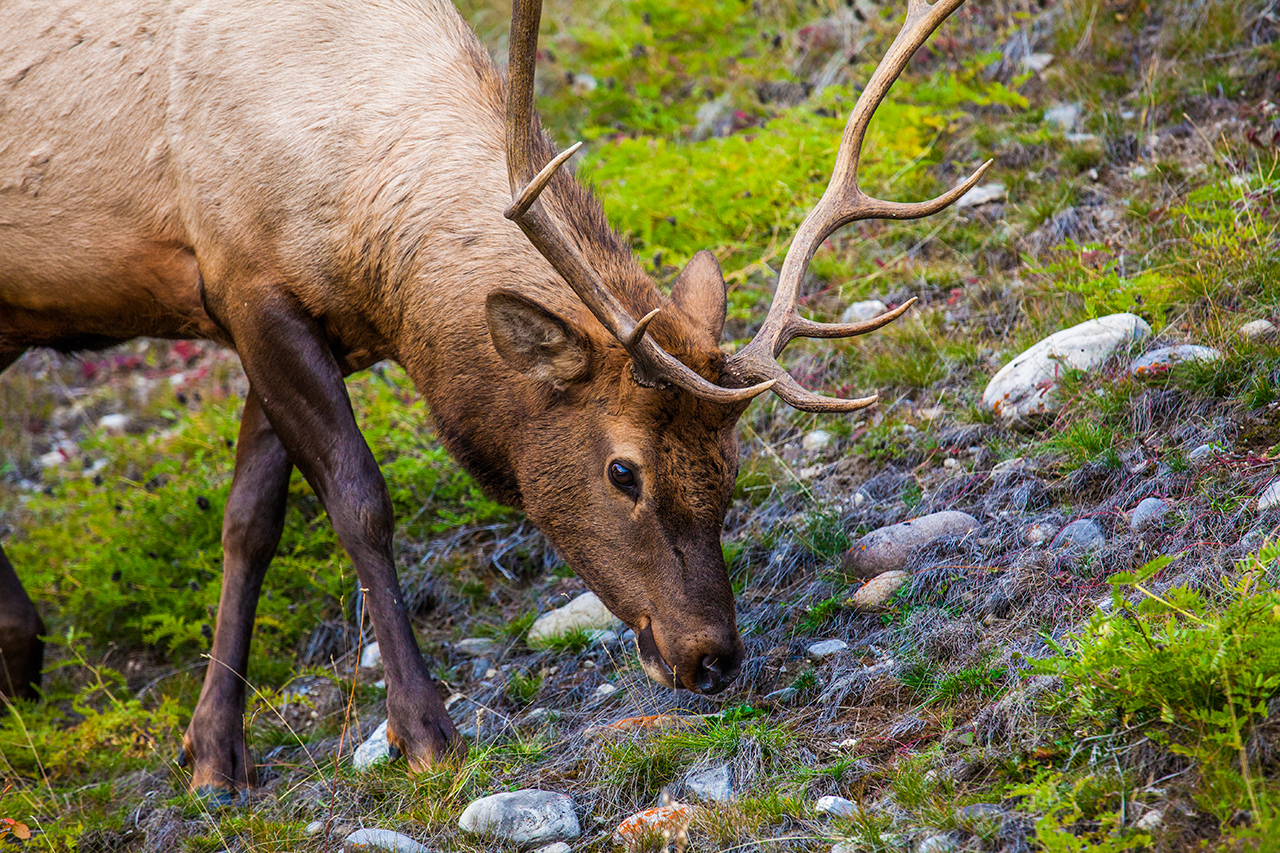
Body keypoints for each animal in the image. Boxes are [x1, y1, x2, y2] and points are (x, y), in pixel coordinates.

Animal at [0, 0, 988, 794]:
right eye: (623, 470)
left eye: (731, 465)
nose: (711, 656)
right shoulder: (247, 285)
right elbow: (357, 501)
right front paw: (423, 730)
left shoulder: (276, 313)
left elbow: (248, 520)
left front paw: (211, 750)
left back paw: (21, 648)